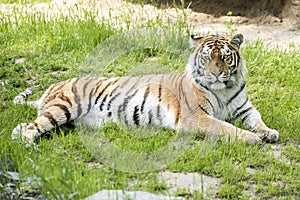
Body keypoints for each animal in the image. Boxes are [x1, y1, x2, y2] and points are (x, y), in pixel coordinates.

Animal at [11, 33, 278, 145]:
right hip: (63, 107)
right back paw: (27, 145)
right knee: (31, 126)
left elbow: (257, 119)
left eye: (224, 57)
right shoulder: (196, 117)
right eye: (206, 58)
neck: (224, 88)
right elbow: (225, 127)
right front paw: (252, 138)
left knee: (22, 125)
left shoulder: (244, 109)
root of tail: (54, 85)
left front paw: (268, 132)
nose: (214, 73)